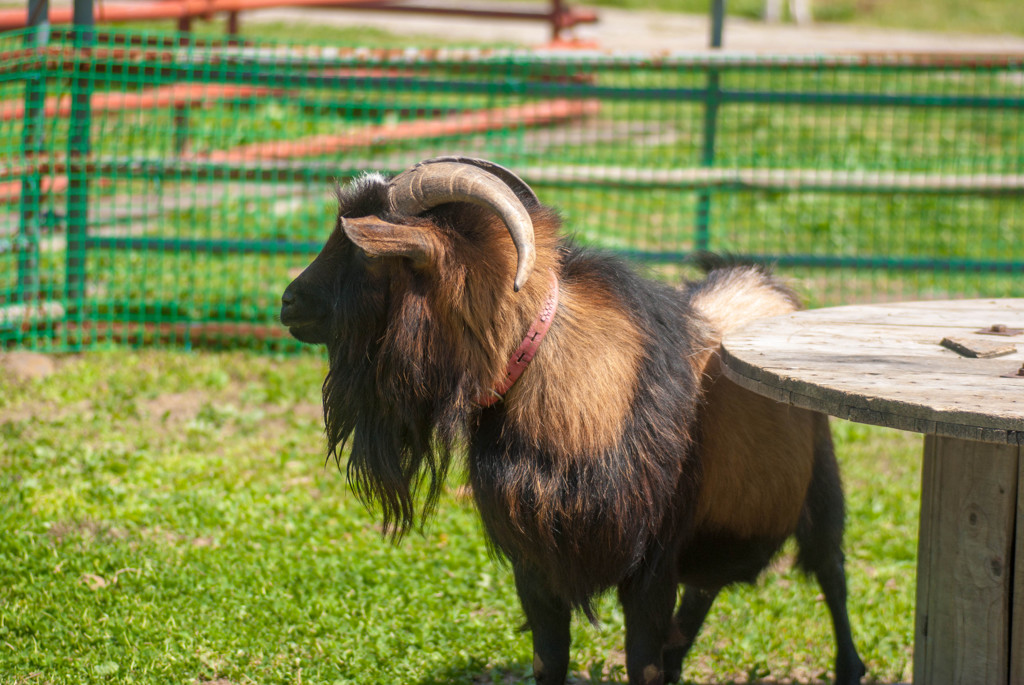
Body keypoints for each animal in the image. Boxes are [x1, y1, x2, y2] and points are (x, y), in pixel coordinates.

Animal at [280, 157, 864, 683]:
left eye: (362, 254)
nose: (288, 301)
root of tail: (763, 279)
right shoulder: (535, 565)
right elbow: (549, 662)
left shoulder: (651, 567)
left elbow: (643, 666)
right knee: (703, 596)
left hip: (821, 487)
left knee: (831, 572)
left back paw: (850, 668)